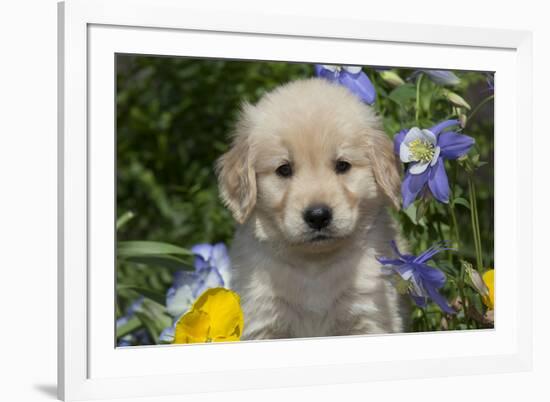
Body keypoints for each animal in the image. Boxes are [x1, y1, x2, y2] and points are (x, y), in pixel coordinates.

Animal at [216, 77, 410, 340]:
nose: (318, 216)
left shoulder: (369, 313)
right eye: (284, 169)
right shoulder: (263, 318)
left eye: (342, 165)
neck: (314, 266)